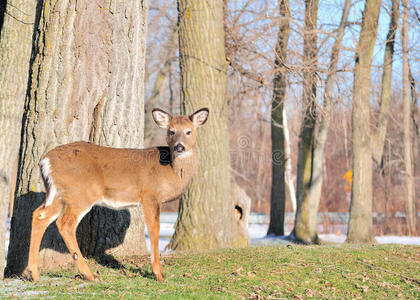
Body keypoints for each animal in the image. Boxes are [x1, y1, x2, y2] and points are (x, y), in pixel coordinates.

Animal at [27, 107, 209, 282]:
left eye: (189, 131)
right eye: (171, 131)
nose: (180, 147)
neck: (170, 170)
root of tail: (45, 161)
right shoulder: (150, 195)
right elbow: (154, 230)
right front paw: (159, 274)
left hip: (59, 194)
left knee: (40, 215)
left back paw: (34, 274)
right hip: (81, 193)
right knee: (65, 224)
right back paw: (89, 274)